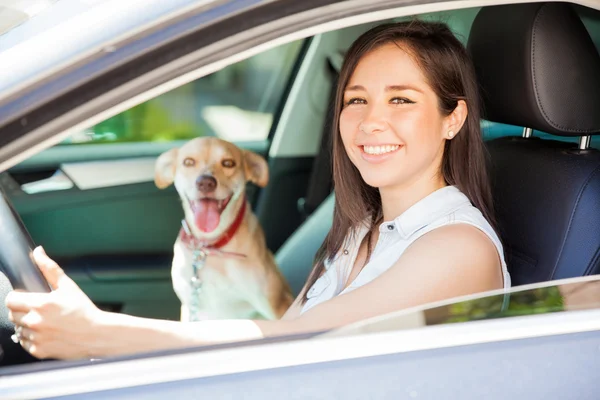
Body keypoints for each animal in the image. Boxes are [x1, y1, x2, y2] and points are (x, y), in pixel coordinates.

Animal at [155, 138, 292, 322]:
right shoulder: (190, 307)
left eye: (228, 163)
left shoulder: (278, 304)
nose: (205, 182)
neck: (209, 246)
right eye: (188, 162)